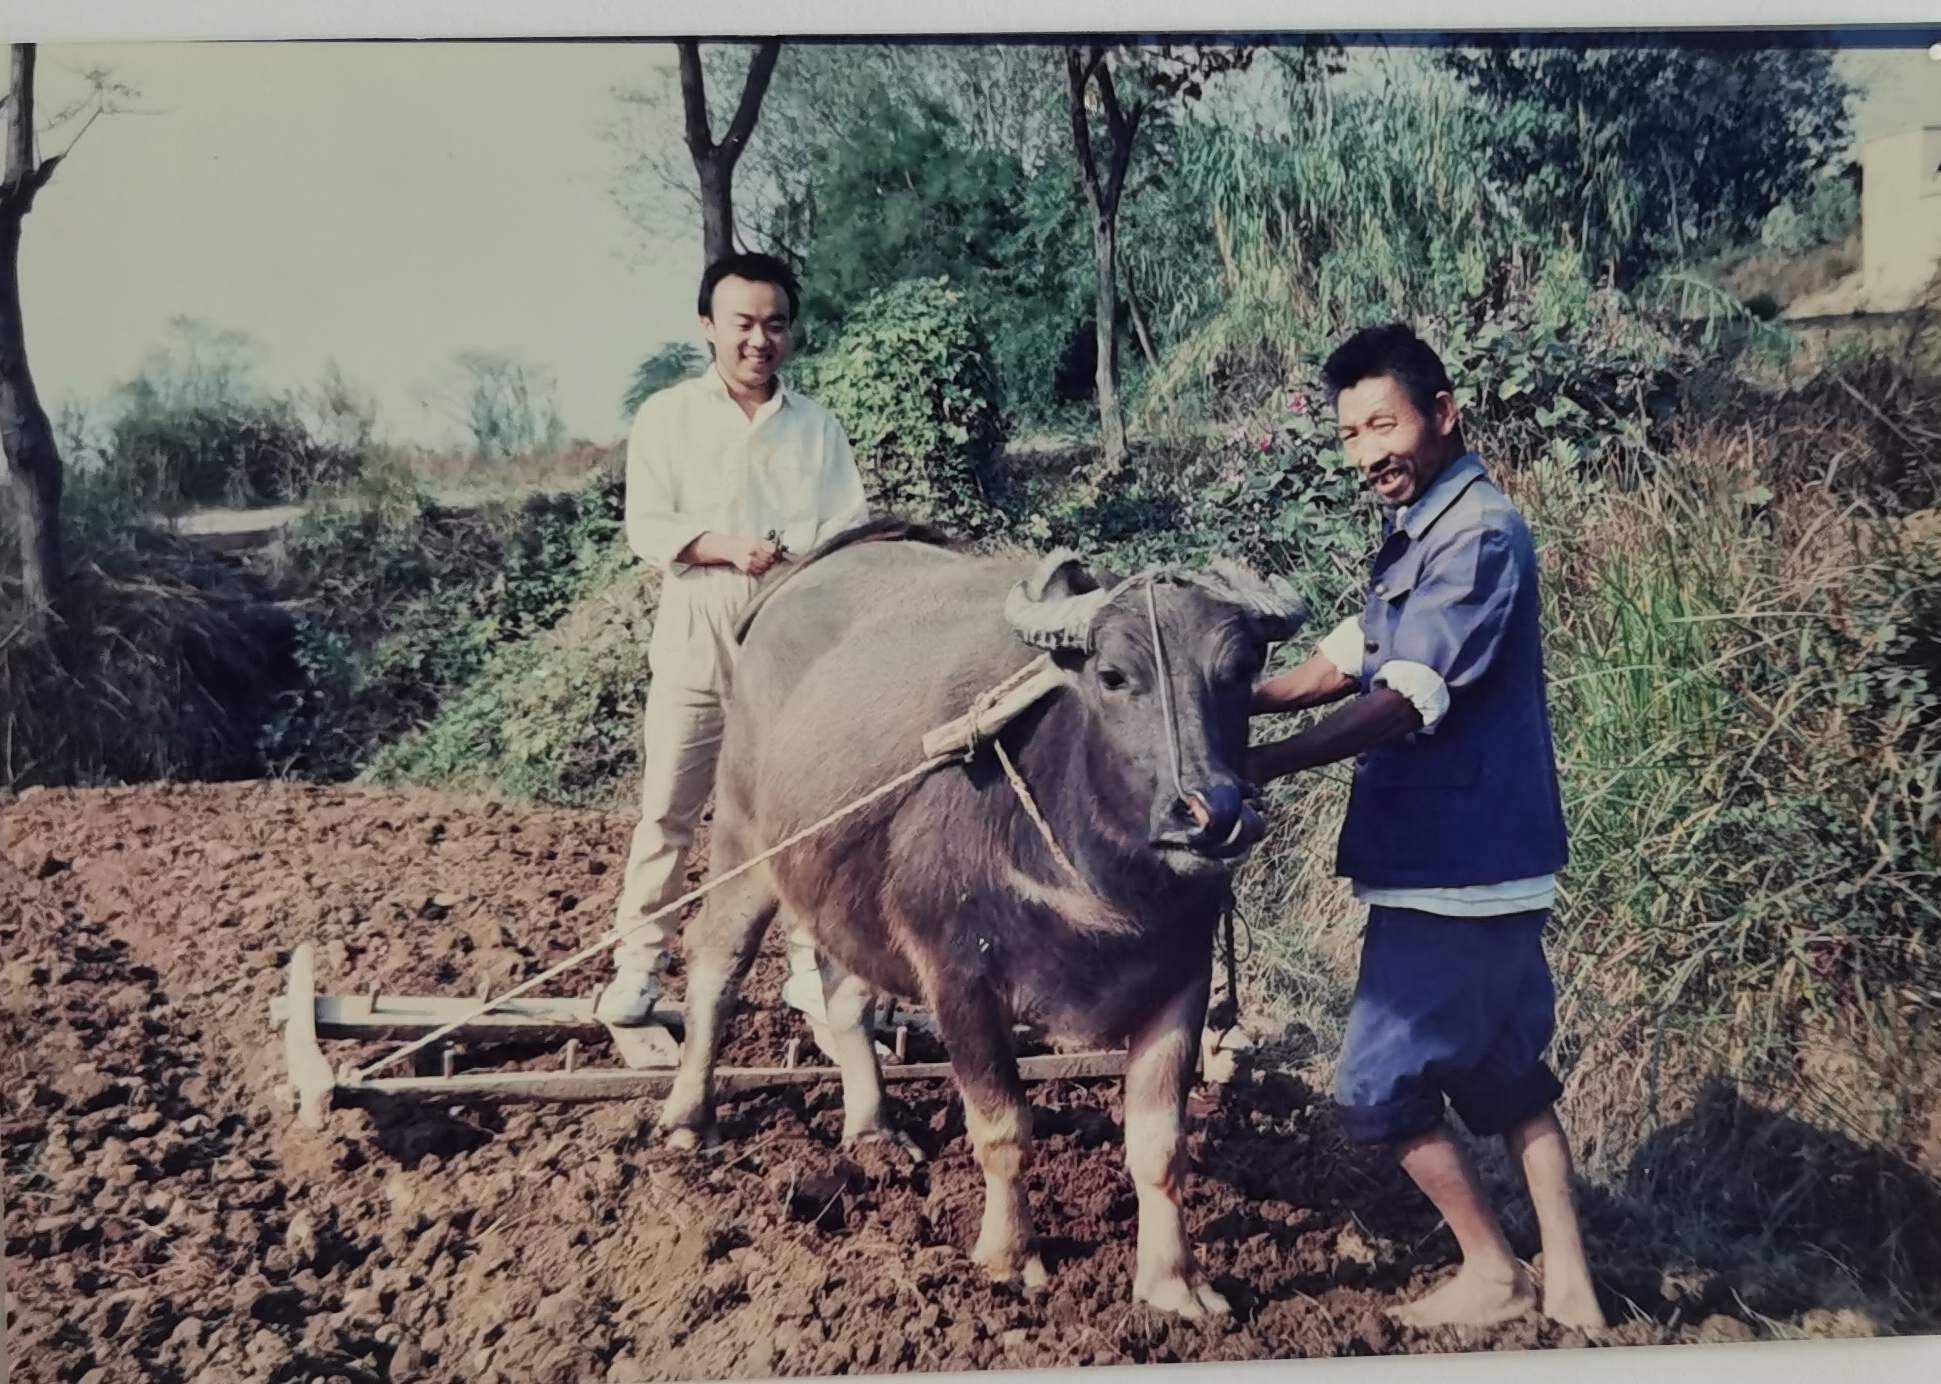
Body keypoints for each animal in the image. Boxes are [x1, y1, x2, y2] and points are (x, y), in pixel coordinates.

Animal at [656, 518, 1304, 1318]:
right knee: (716, 961)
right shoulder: (959, 979)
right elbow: (1002, 1129)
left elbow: (1159, 1144)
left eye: (1239, 671)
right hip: (743, 838)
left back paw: (872, 1129)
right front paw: (1009, 1258)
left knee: (845, 996)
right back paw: (688, 1122)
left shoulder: (1182, 980)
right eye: (1113, 675)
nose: (1208, 813)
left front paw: (1173, 1283)